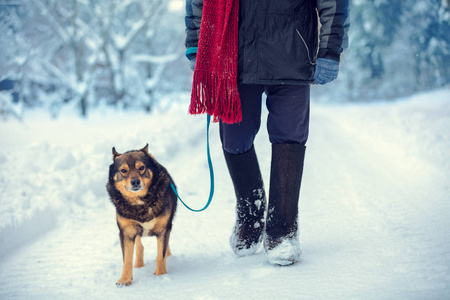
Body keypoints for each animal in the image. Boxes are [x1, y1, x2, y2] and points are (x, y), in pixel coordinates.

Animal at [107, 144, 178, 288]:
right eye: (123, 170)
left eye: (141, 167)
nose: (135, 182)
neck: (140, 203)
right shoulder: (127, 232)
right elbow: (127, 259)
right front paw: (125, 279)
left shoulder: (163, 229)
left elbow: (160, 255)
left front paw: (160, 276)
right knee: (140, 245)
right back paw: (139, 264)